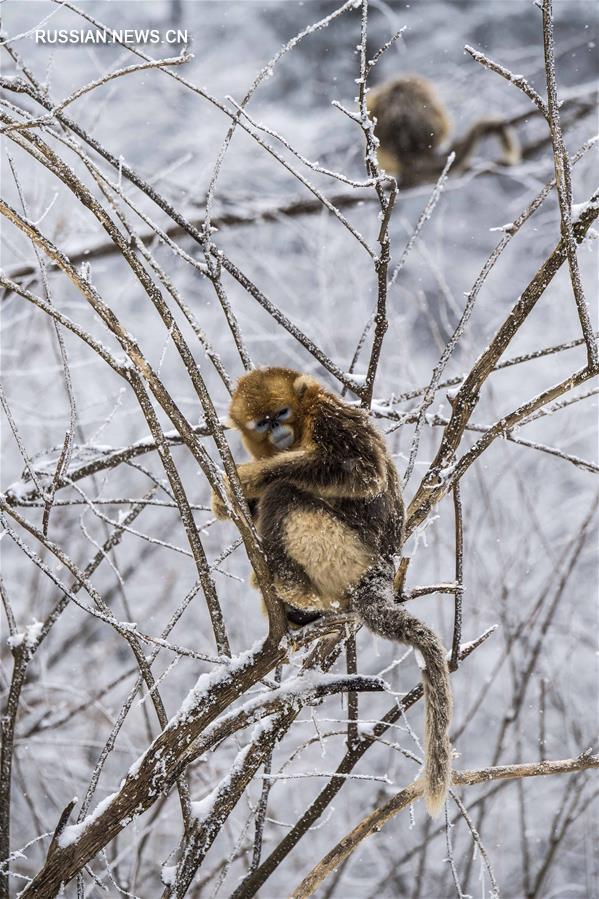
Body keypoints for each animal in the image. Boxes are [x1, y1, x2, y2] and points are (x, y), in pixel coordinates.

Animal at [213, 366, 452, 816]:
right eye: (262, 423)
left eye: (282, 413)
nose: (279, 433)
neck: (304, 421)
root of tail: (379, 576)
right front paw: (230, 499)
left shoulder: (331, 418)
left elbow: (361, 471)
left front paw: (248, 478)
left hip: (346, 554)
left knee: (286, 493)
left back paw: (291, 585)